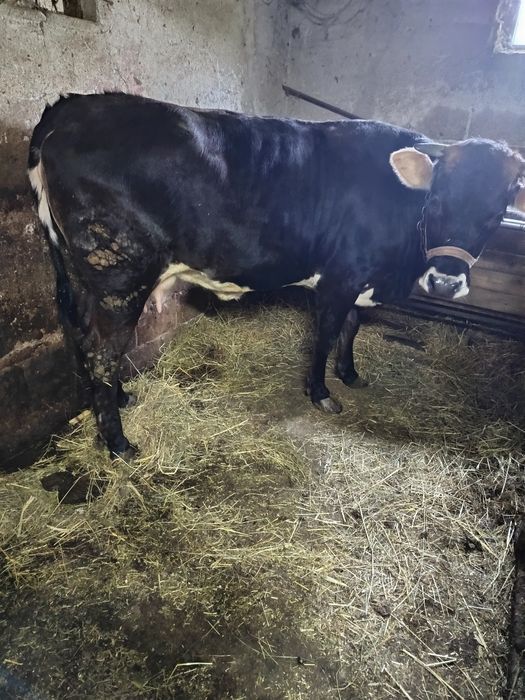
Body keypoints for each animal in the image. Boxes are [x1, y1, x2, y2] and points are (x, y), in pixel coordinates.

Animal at [28, 92, 525, 458]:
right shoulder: (340, 277)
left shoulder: (357, 278)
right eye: (436, 202)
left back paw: (117, 400)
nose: (446, 282)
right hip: (119, 275)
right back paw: (118, 443)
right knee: (103, 352)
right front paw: (321, 392)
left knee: (84, 340)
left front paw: (350, 374)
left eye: (497, 213)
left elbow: (352, 328)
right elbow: (327, 334)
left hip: (82, 277)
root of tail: (71, 106)